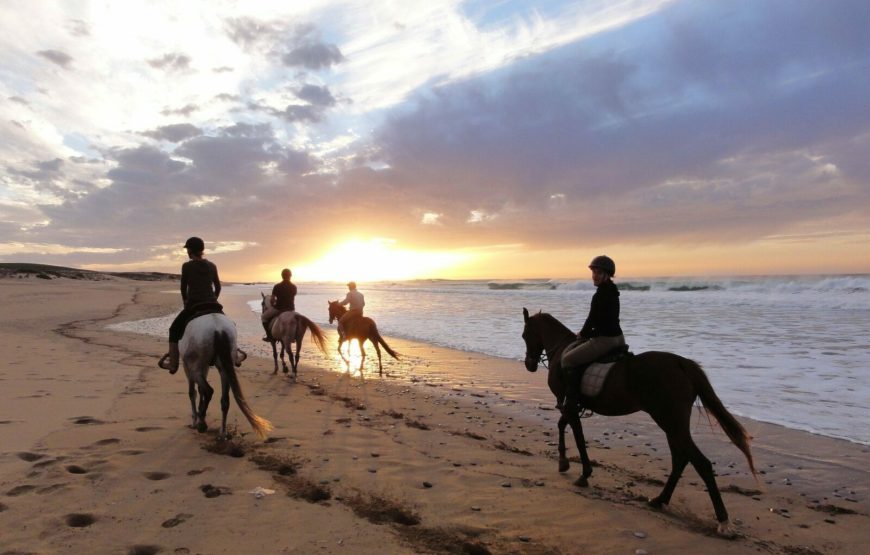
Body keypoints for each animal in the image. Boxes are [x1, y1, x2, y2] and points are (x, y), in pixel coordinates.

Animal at [524, 308, 756, 536]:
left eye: (525, 335)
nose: (529, 365)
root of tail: (680, 363)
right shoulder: (570, 407)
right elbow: (563, 426)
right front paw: (564, 463)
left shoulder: (568, 405)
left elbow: (577, 437)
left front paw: (582, 473)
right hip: (673, 424)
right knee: (680, 459)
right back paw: (660, 500)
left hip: (669, 420)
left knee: (700, 462)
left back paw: (723, 521)